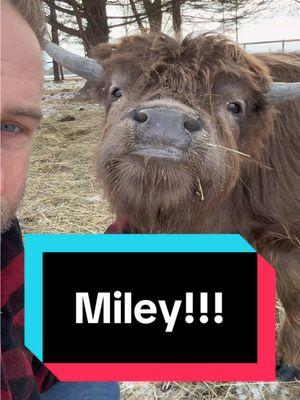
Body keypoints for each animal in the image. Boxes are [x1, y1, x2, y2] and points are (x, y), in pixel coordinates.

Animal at [47, 32, 300, 376]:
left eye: (235, 106)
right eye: (117, 90)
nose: (163, 123)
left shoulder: (285, 241)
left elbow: (292, 293)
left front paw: (288, 362)